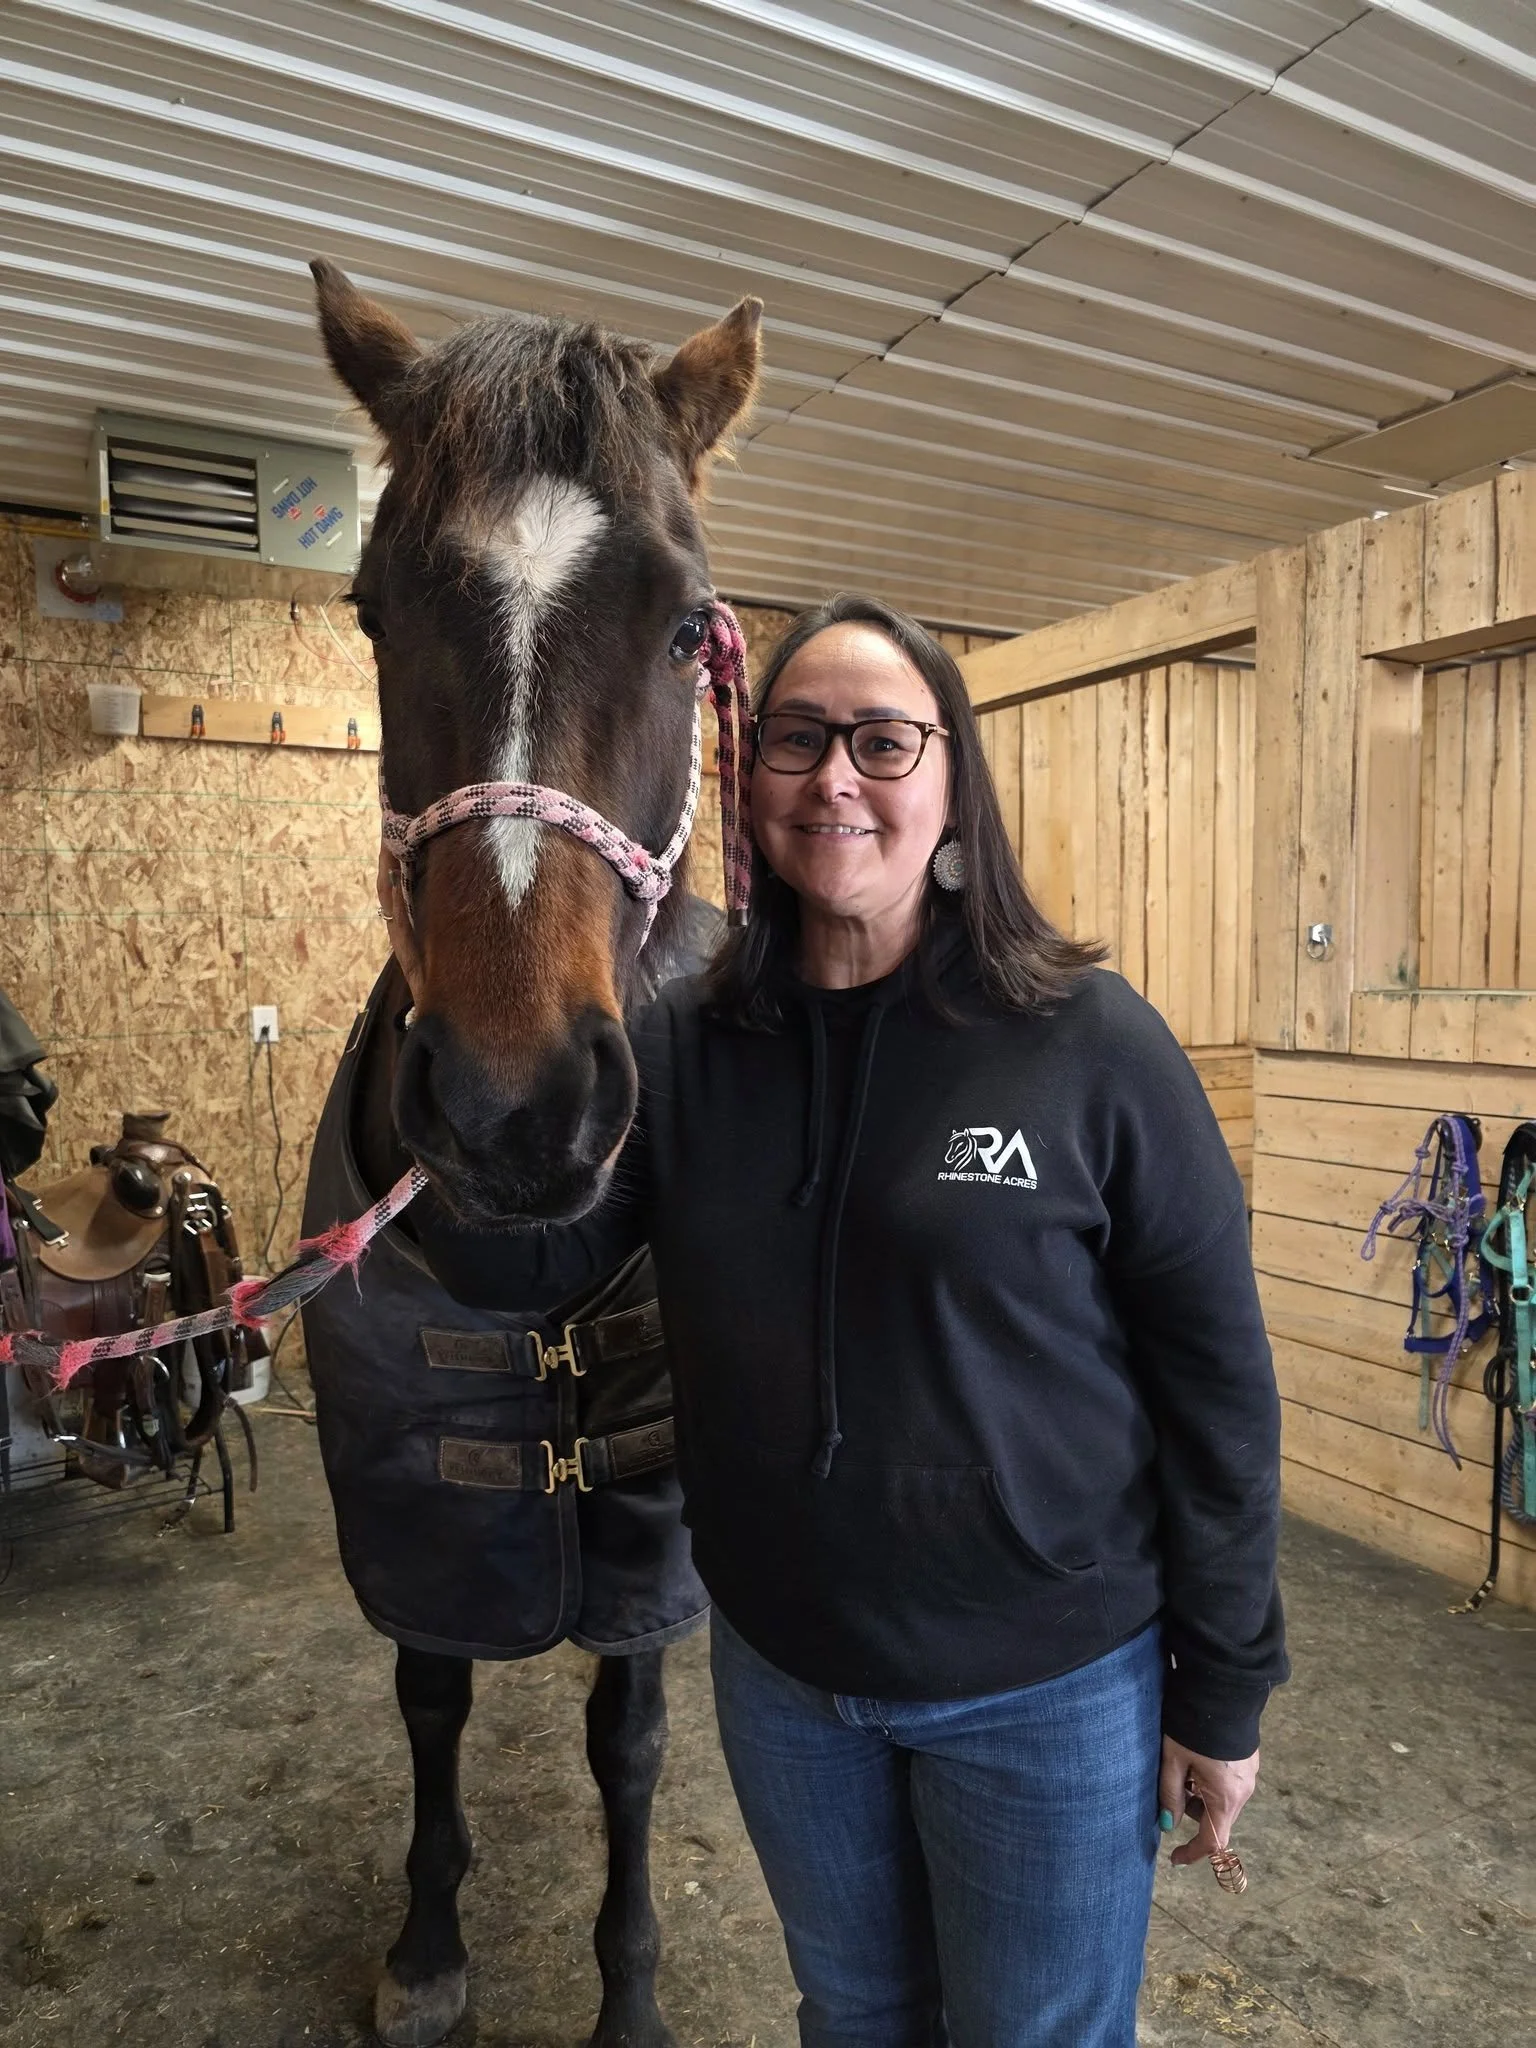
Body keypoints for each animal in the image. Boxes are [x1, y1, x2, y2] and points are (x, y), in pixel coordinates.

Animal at [301, 261, 761, 2048]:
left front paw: (627, 1992)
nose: (516, 1104)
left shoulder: (644, 1507)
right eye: (372, 608)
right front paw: (430, 1942)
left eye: (687, 622)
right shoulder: (412, 1492)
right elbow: (431, 1688)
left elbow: (625, 1740)